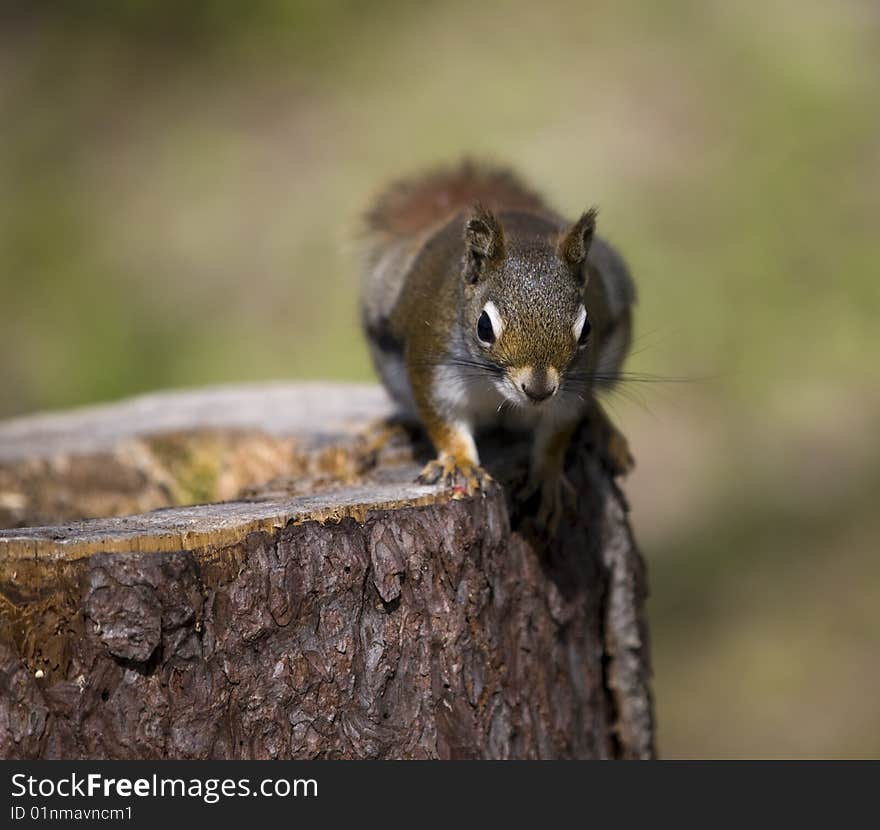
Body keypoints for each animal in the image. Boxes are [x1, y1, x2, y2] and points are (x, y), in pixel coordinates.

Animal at [360, 159, 636, 528]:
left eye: (587, 329)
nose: (538, 390)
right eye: (484, 327)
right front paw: (460, 462)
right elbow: (445, 420)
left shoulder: (572, 388)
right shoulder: (435, 366)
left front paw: (548, 475)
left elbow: (558, 430)